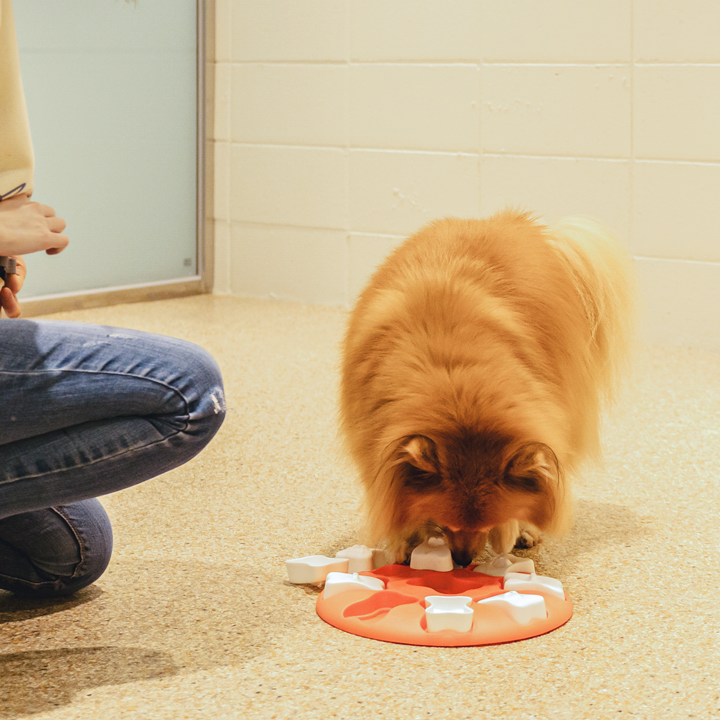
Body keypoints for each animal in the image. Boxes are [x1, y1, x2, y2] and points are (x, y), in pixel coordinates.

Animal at [340, 211, 632, 564]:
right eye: (448, 523)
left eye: (486, 524)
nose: (463, 560)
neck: (458, 391)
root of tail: (516, 221)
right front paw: (403, 543)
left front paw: (512, 531)